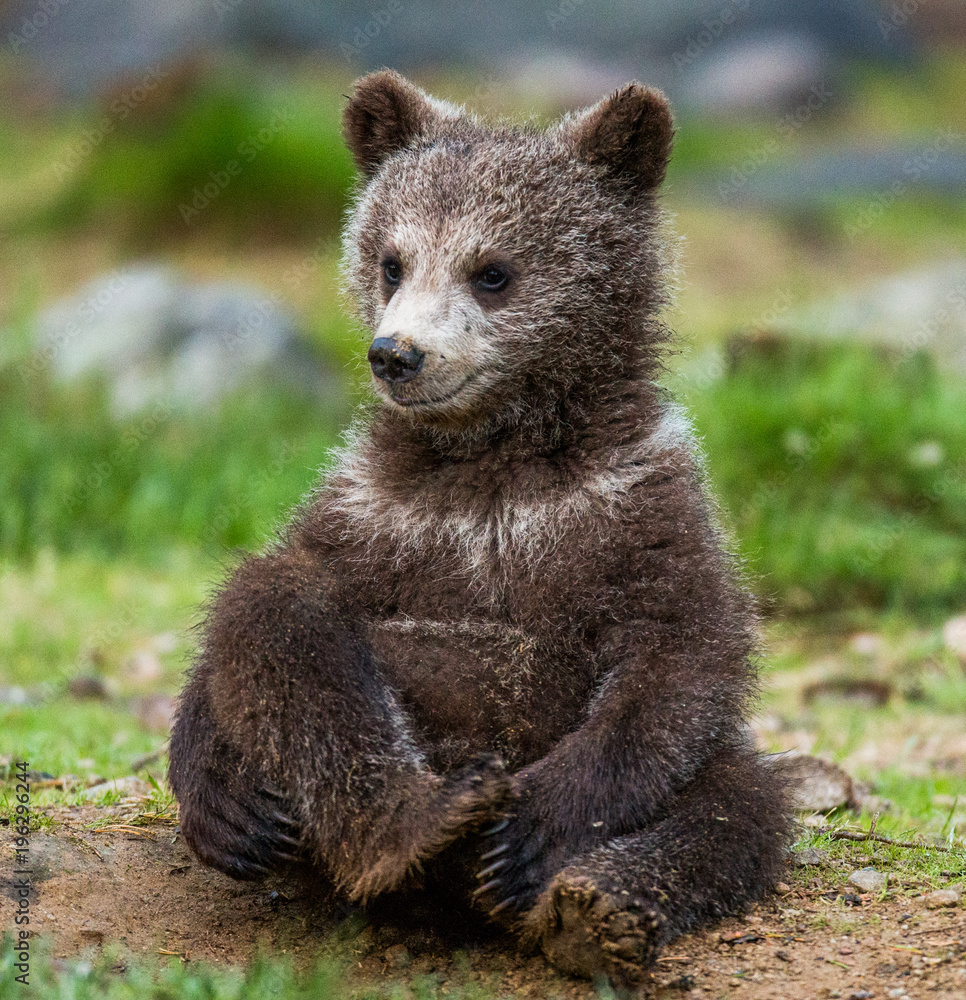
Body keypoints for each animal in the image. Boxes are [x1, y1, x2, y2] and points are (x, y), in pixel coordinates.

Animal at [168, 69, 792, 986]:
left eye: (492, 271)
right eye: (392, 260)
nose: (397, 354)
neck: (492, 457)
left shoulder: (635, 506)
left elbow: (679, 661)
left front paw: (530, 835)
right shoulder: (378, 509)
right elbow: (273, 600)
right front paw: (224, 800)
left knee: (737, 802)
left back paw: (589, 905)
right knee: (276, 608)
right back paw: (421, 824)